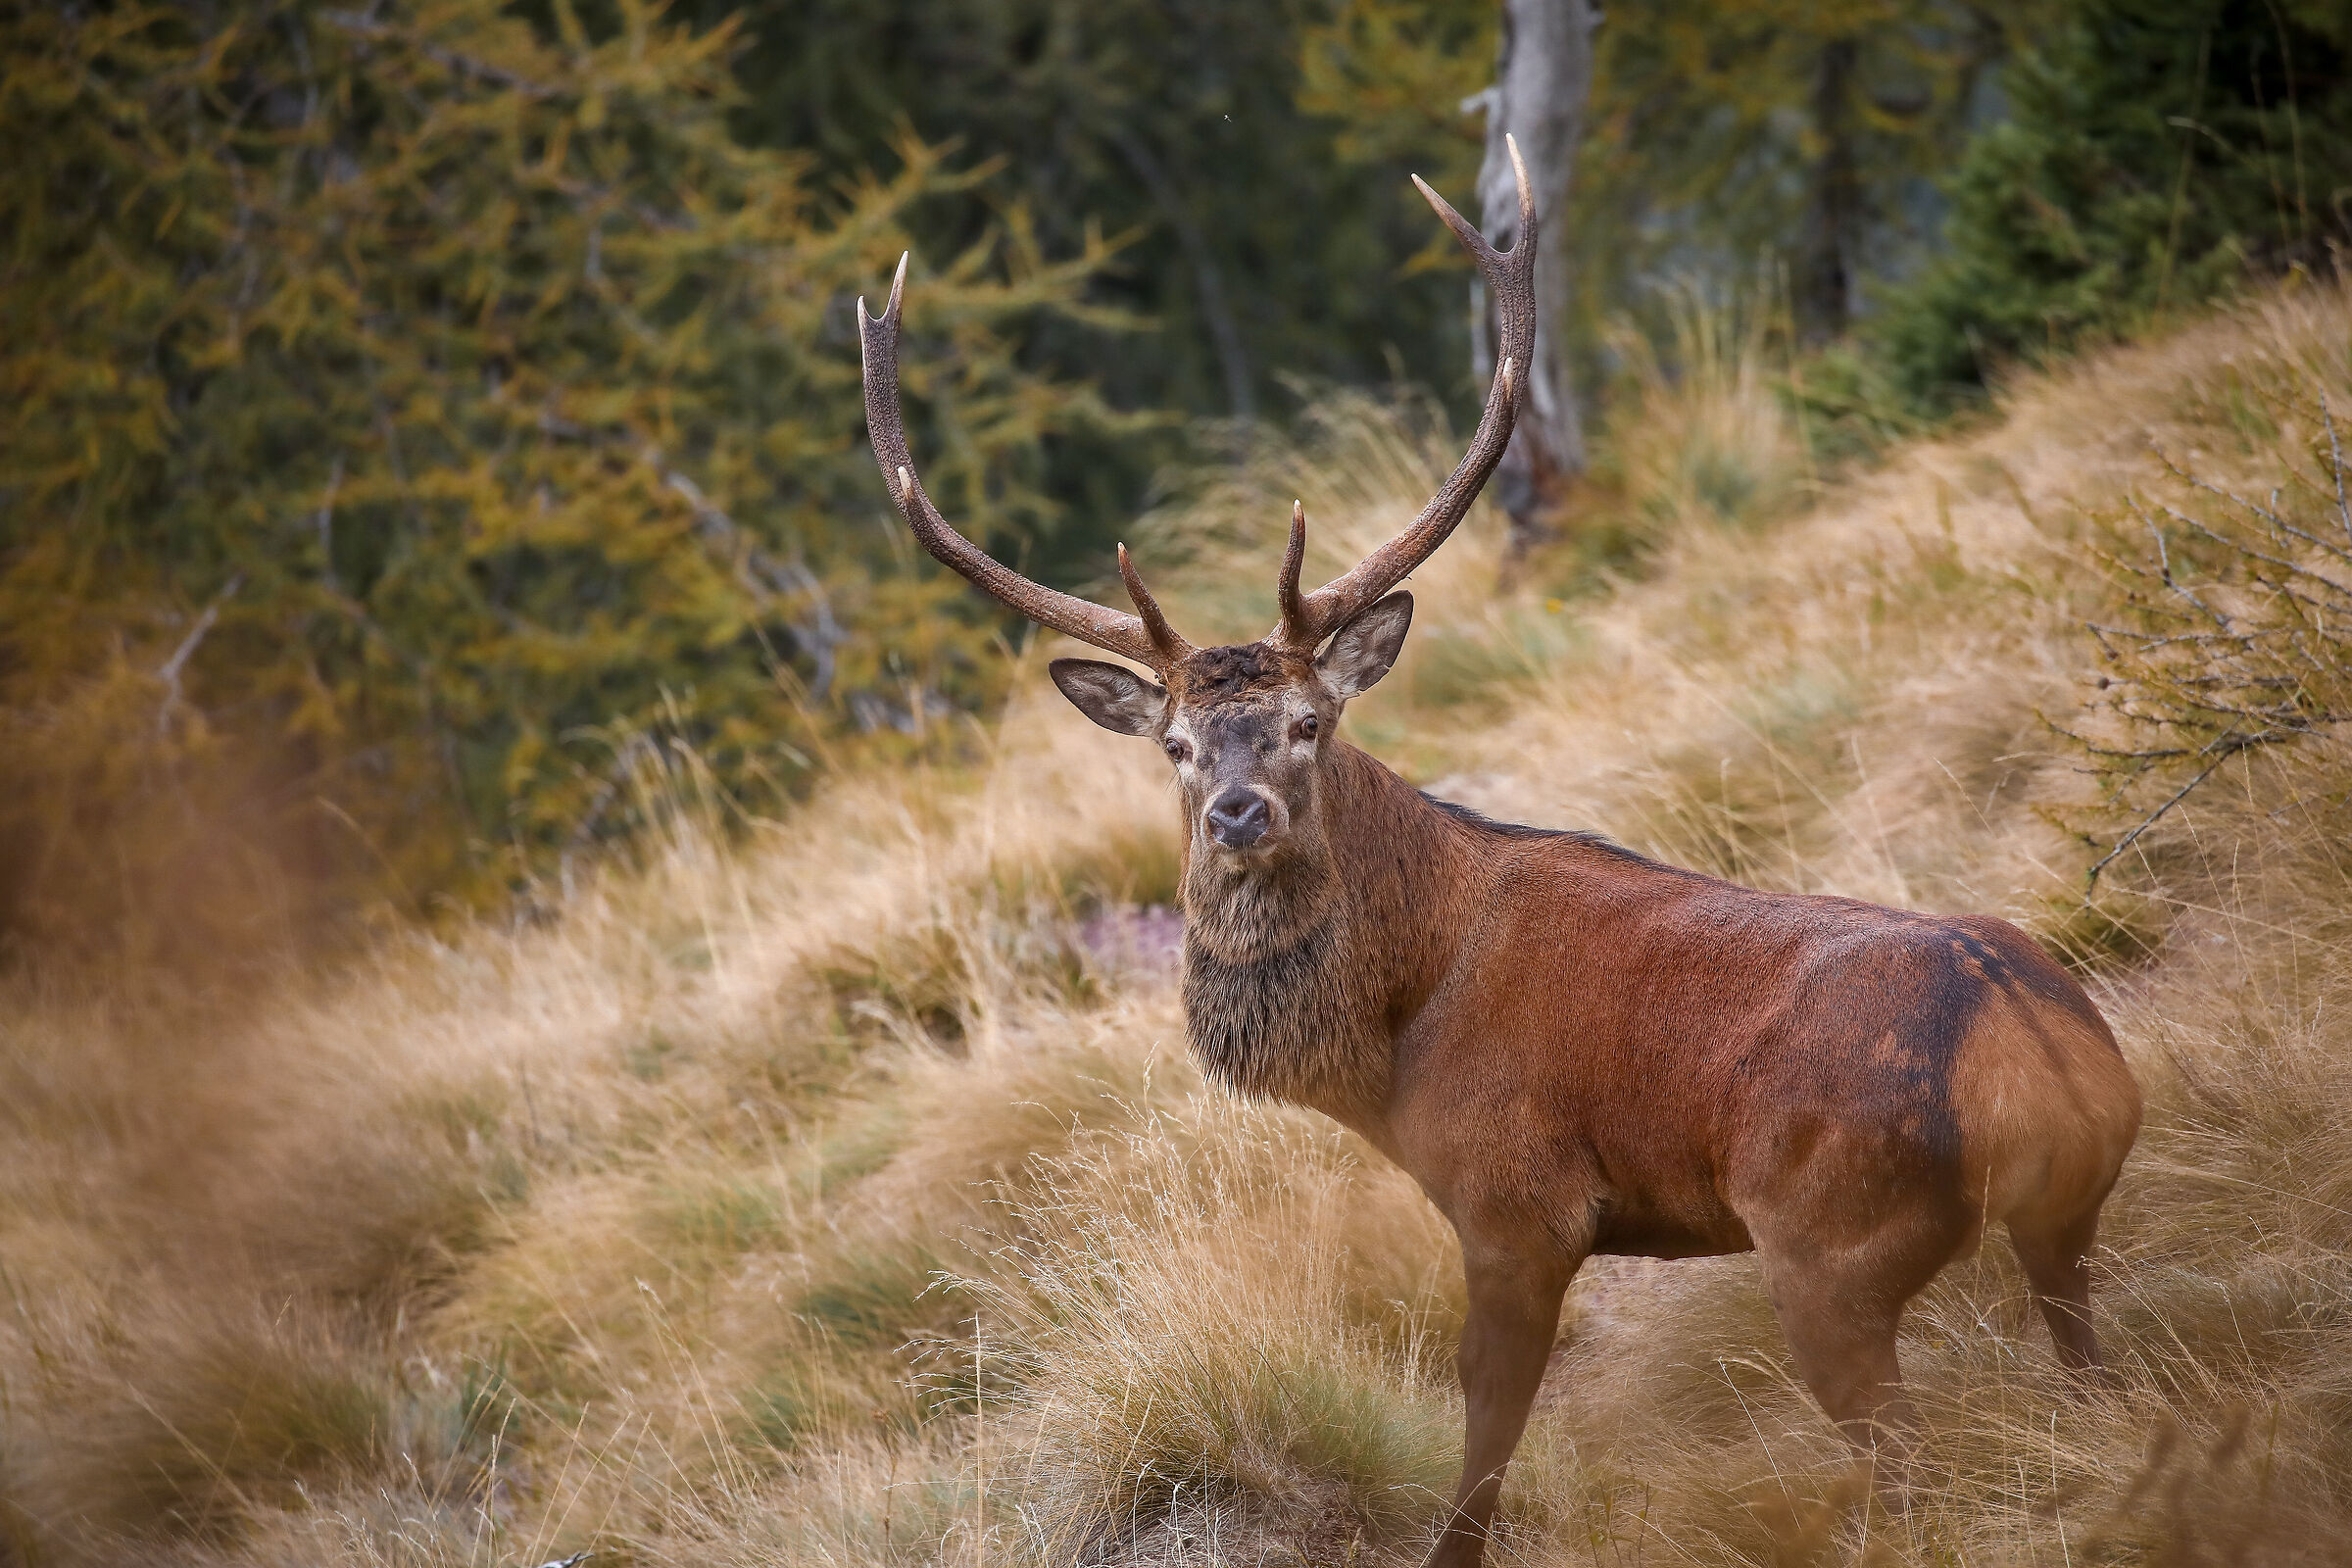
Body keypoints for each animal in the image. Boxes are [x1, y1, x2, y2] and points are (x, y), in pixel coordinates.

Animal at [858, 138, 2143, 1568]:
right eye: (1178, 744)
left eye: (1309, 722)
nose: (1240, 812)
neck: (1392, 1042)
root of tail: (2040, 1050)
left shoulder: (1515, 1201)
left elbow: (1485, 1431)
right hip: (2063, 1229)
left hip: (1829, 1244)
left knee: (1913, 1461)